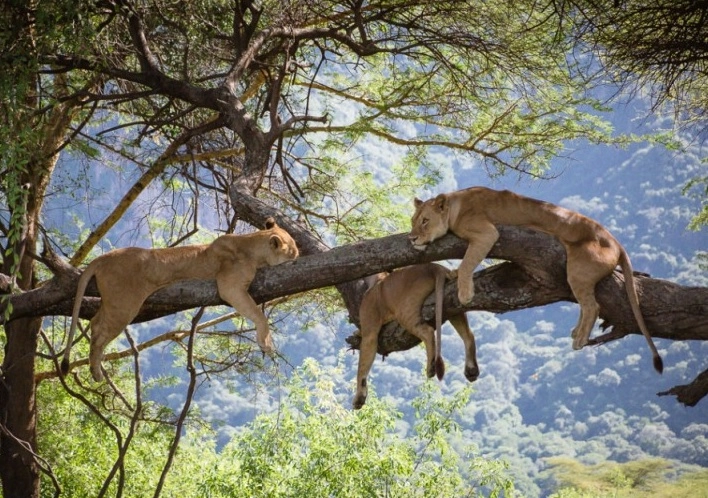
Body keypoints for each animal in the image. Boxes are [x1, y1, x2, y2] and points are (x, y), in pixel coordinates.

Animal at [60, 218, 298, 382]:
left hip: (112, 302)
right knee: (99, 330)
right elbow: (258, 313)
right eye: (292, 251)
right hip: (123, 304)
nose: (298, 255)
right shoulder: (229, 286)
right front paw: (266, 343)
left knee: (94, 322)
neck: (252, 245)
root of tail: (103, 258)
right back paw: (96, 371)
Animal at [354, 262, 482, 410]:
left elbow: (362, 367)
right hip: (451, 299)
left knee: (428, 332)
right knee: (468, 334)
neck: (378, 279)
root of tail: (435, 266)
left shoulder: (370, 331)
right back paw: (471, 370)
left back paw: (431, 368)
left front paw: (359, 398)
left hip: (405, 311)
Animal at [410, 187, 664, 374]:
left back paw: (580, 339)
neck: (455, 205)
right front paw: (453, 274)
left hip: (578, 269)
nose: (411, 238)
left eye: (424, 221)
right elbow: (465, 263)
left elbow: (467, 262)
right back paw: (576, 332)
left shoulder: (487, 233)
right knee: (586, 304)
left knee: (592, 306)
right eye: (413, 220)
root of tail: (615, 241)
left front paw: (464, 292)